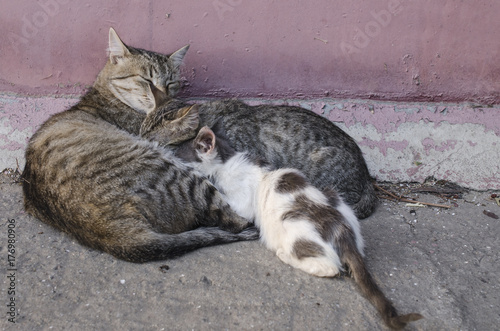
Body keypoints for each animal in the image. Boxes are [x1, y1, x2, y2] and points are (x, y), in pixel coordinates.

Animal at [22, 27, 258, 264]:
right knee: (234, 219)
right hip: (176, 171)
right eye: (147, 80)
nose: (163, 93)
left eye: (171, 83)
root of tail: (113, 232)